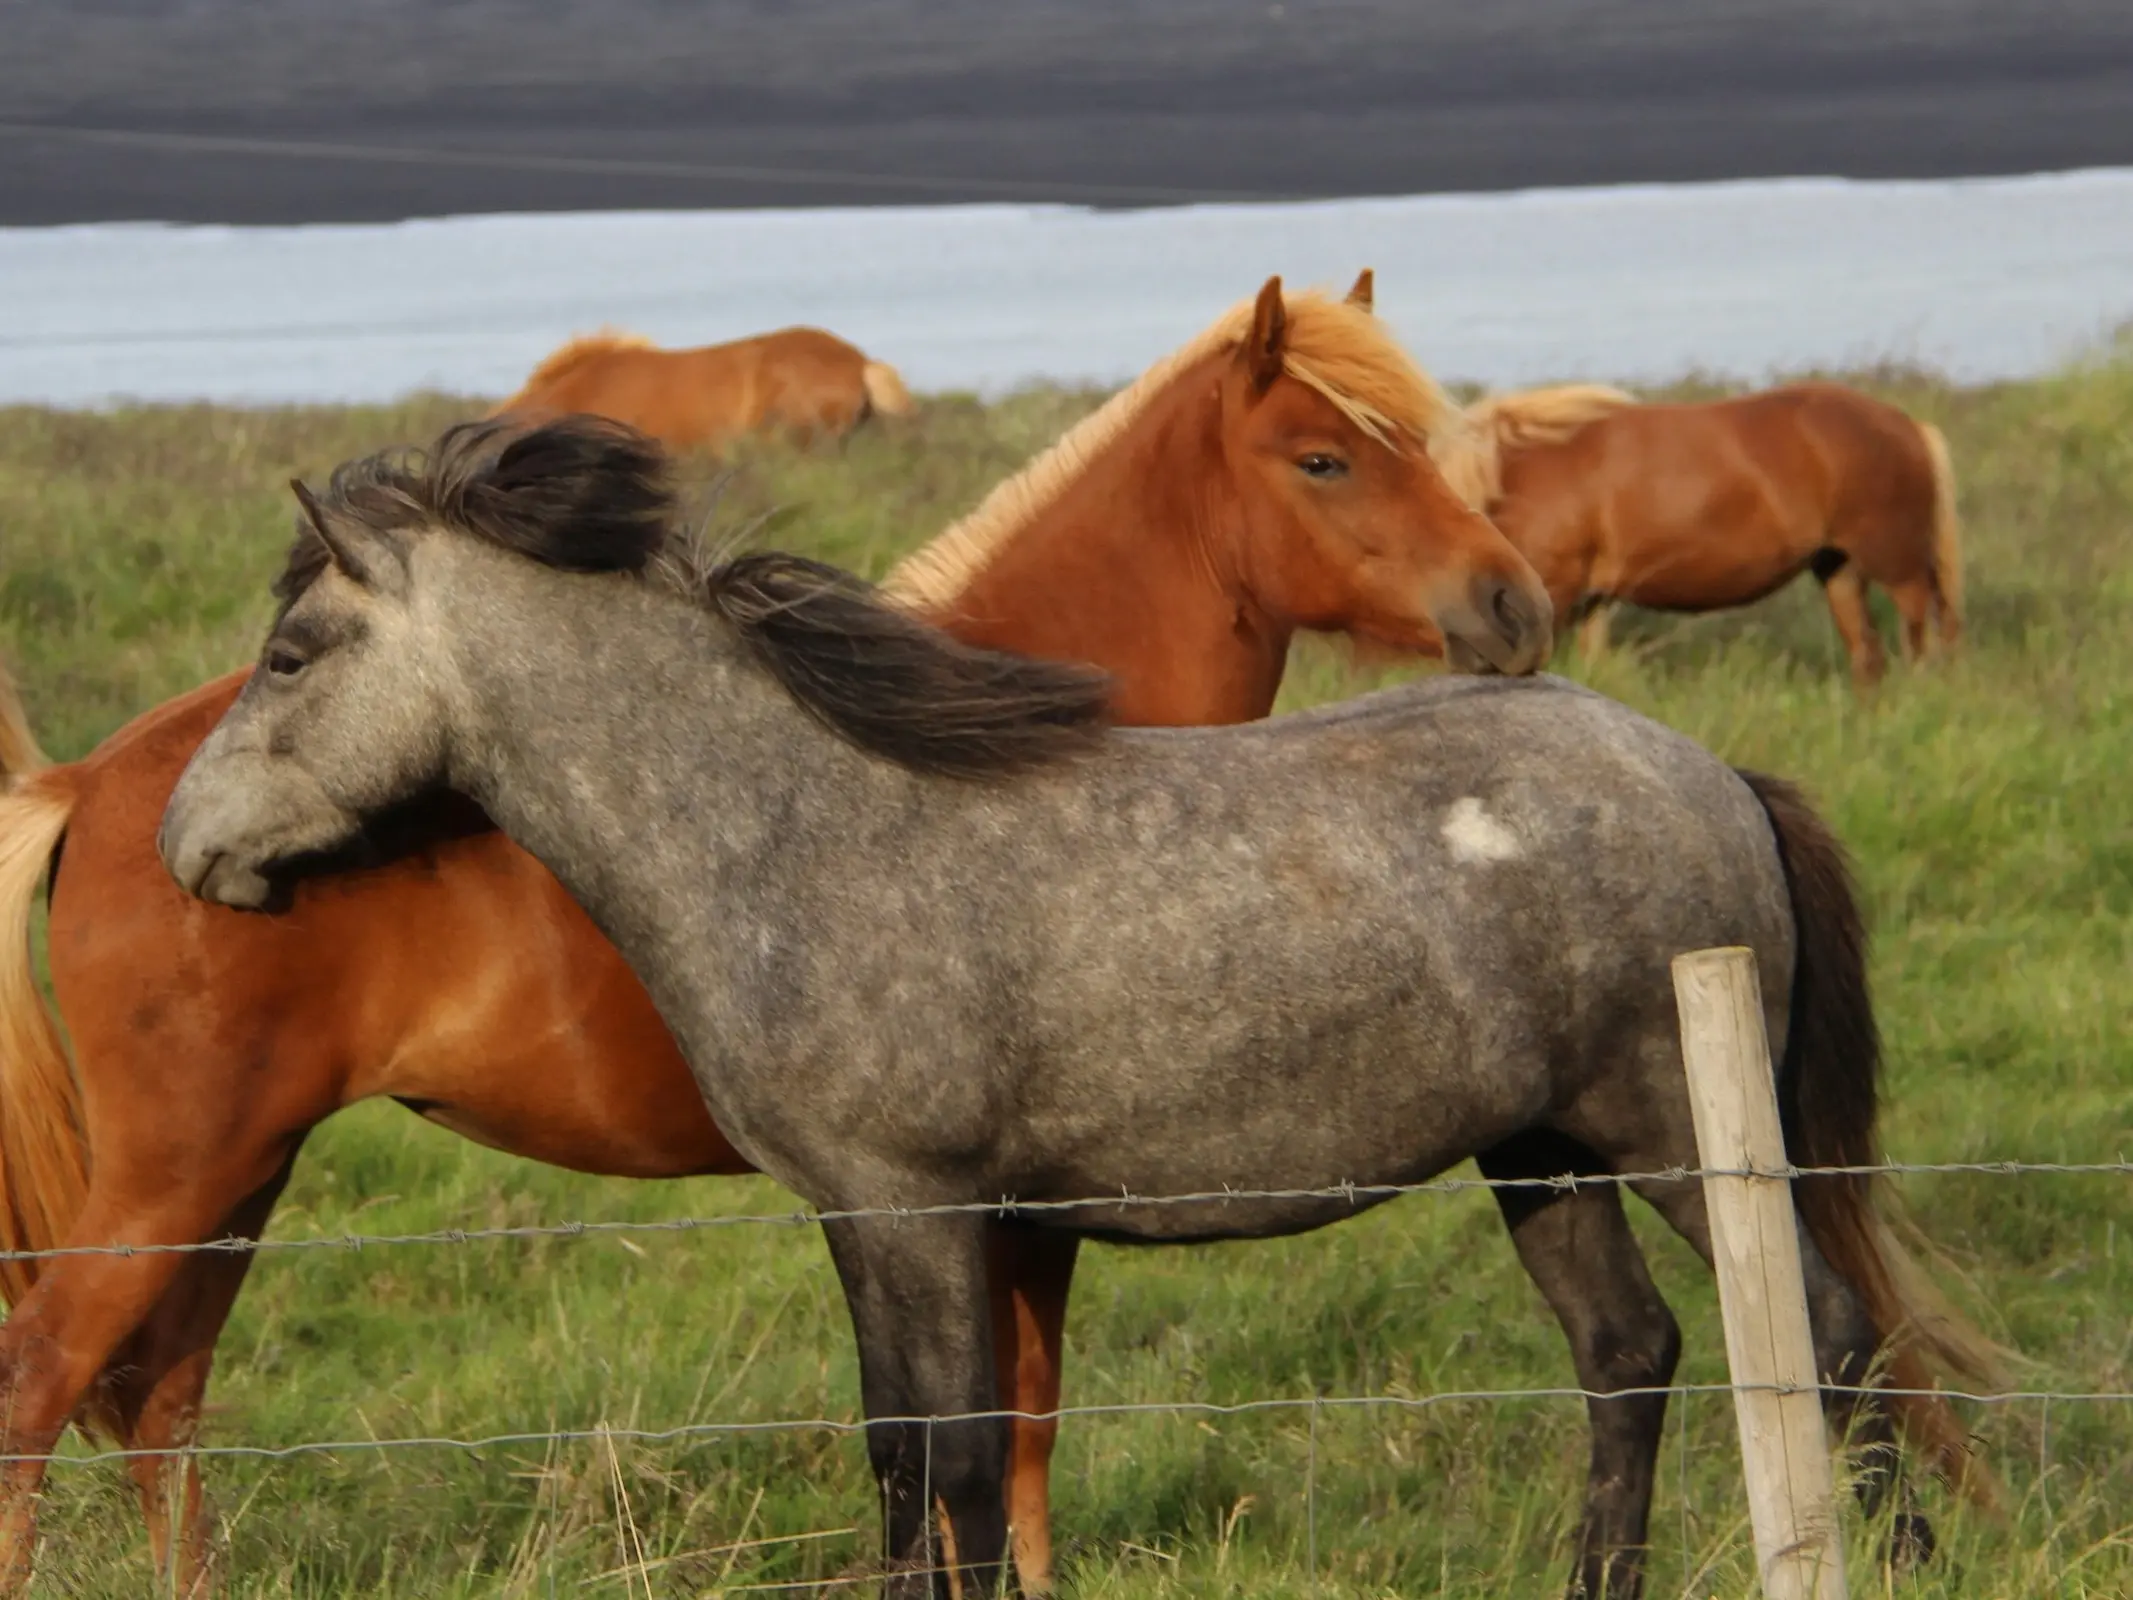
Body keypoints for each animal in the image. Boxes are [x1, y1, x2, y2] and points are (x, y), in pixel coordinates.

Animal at [1467, 386, 1962, 691]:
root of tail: (1909, 427)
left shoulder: (1553, 596)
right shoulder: (1591, 602)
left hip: (1899, 571)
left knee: (1922, 645)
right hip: (1840, 569)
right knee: (1869, 657)